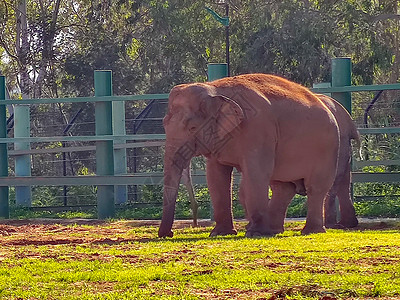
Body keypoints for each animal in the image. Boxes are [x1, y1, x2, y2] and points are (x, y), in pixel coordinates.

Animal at [158, 74, 340, 238]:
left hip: (326, 149)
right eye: (164, 125)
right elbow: (216, 176)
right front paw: (220, 233)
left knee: (315, 187)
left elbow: (256, 173)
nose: (168, 234)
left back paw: (310, 231)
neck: (215, 89)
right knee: (282, 187)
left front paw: (255, 233)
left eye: (193, 128)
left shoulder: (258, 129)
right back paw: (274, 231)